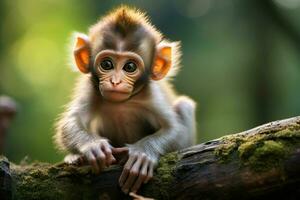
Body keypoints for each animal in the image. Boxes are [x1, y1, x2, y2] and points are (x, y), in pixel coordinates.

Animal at [54, 6, 196, 194]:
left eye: (129, 67)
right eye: (107, 64)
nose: (115, 82)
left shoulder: (152, 94)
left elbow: (176, 129)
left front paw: (142, 153)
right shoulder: (91, 88)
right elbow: (69, 123)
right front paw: (93, 146)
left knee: (184, 105)